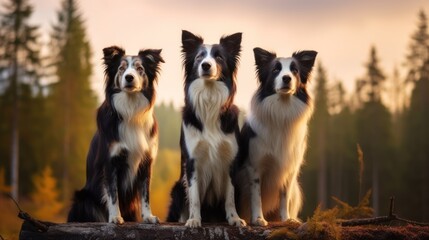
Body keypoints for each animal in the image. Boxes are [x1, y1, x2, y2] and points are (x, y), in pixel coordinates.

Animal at [67, 46, 164, 223]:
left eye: (140, 69)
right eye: (121, 68)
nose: (129, 77)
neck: (131, 111)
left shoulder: (146, 163)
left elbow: (145, 195)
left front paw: (148, 217)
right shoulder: (110, 161)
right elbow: (113, 194)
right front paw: (115, 217)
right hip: (82, 198)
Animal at [166, 31, 246, 228]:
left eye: (218, 57)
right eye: (199, 57)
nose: (206, 65)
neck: (209, 98)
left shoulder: (230, 160)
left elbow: (230, 197)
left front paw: (234, 218)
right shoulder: (192, 161)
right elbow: (194, 196)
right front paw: (194, 220)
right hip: (178, 187)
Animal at [234, 47, 314, 226]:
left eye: (294, 70)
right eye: (275, 70)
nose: (286, 78)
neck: (281, 110)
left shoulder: (289, 168)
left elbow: (284, 196)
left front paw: (287, 219)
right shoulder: (255, 166)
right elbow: (256, 196)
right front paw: (258, 219)